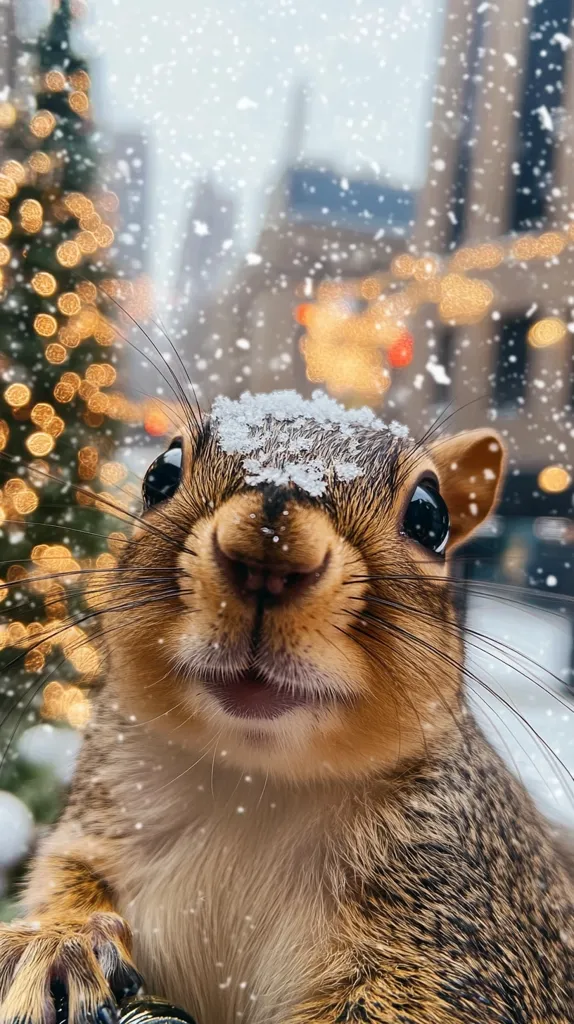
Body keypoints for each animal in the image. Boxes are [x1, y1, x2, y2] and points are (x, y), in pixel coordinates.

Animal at [0, 389, 572, 1024]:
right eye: (160, 474)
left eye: (431, 517)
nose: (267, 554)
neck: (253, 783)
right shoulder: (99, 822)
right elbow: (66, 873)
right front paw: (56, 942)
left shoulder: (466, 926)